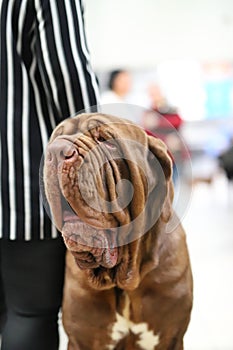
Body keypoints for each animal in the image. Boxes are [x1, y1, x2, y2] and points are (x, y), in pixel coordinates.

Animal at [43, 113, 193, 348]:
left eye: (108, 142)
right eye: (56, 138)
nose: (57, 151)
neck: (125, 279)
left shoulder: (171, 338)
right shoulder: (81, 339)